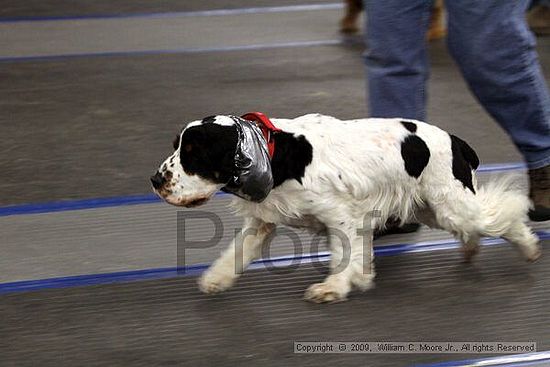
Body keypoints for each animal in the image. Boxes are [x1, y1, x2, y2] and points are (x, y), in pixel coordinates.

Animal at [152, 113, 544, 304]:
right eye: (177, 147)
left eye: (193, 154)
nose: (156, 180)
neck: (279, 157)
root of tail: (457, 140)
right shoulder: (263, 221)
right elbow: (235, 252)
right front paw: (215, 280)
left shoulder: (341, 216)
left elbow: (344, 255)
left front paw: (333, 288)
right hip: (429, 207)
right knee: (475, 227)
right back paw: (472, 250)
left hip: (451, 203)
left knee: (503, 214)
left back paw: (529, 248)